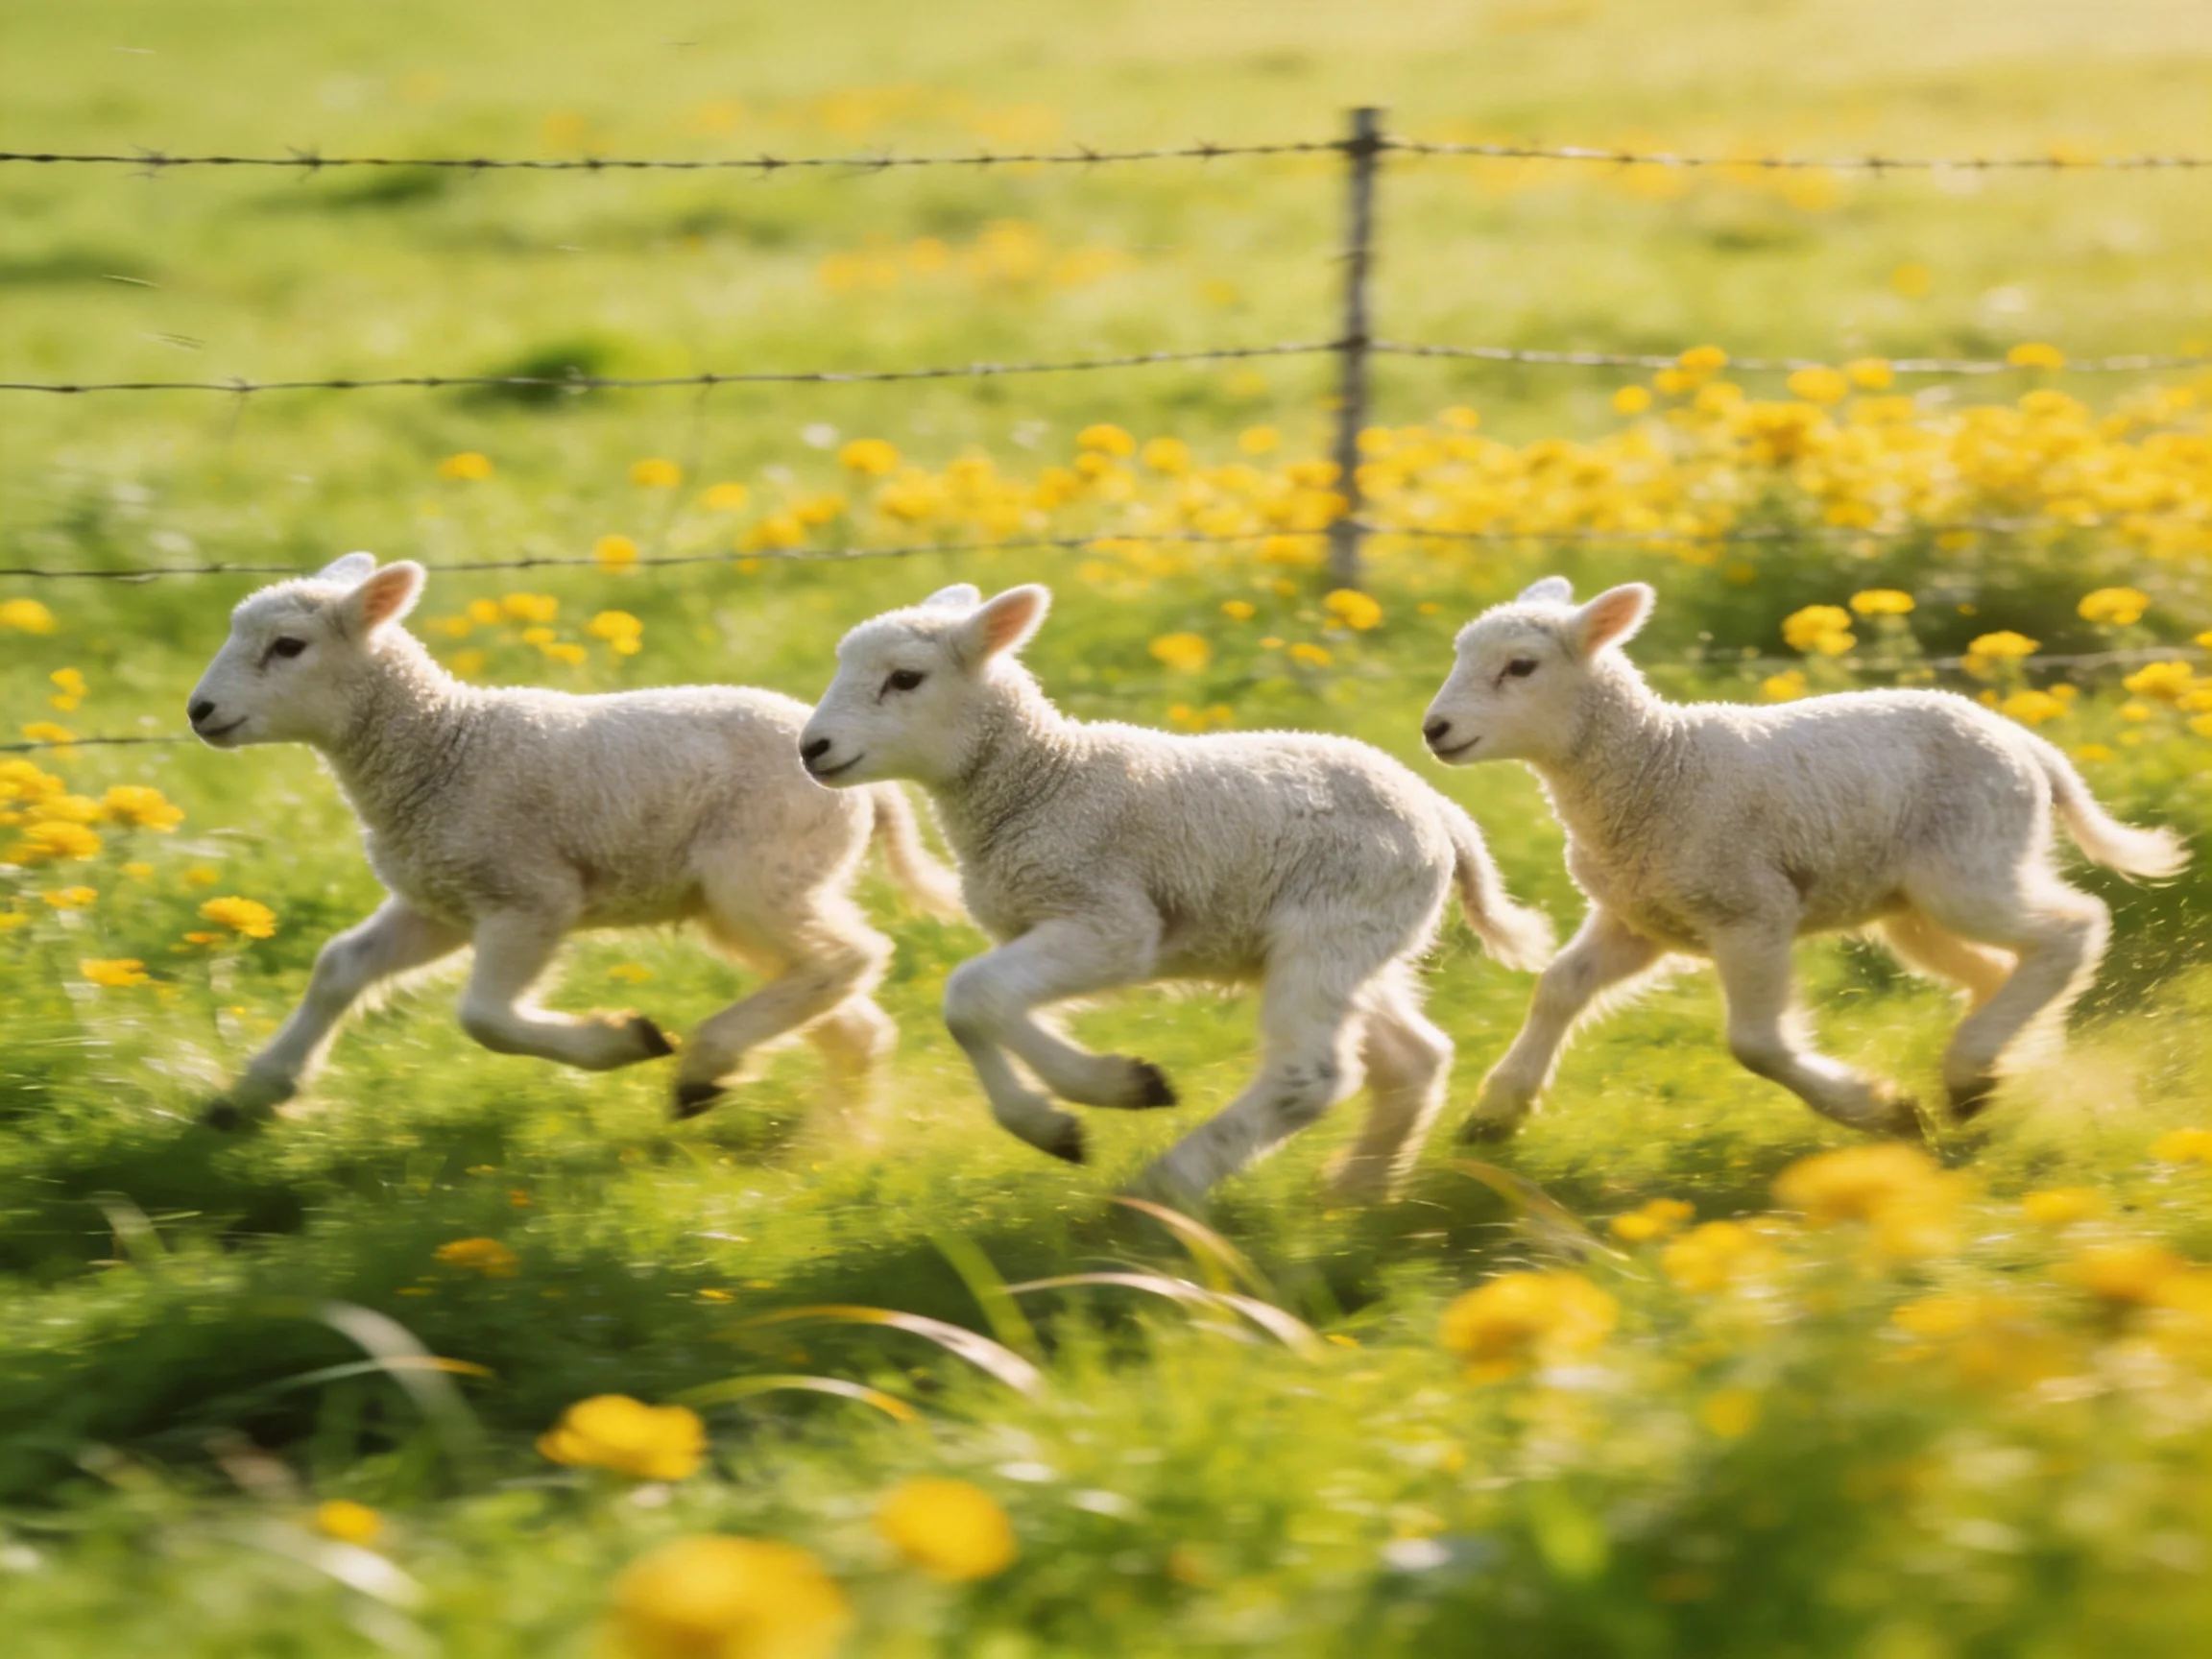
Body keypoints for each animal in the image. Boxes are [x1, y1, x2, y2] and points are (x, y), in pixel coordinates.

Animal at [186, 552, 960, 1130]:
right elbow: (339, 966)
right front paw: (261, 1089)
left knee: (851, 956)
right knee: (843, 1006)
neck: (442, 748)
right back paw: (829, 1137)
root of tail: (870, 785)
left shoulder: (530, 893)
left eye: (288, 646)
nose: (199, 711)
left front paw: (619, 1040)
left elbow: (485, 1019)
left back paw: (707, 1066)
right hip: (751, 894)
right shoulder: (442, 899)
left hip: (762, 867)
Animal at [795, 582, 1553, 1202]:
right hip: (1364, 942)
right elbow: (988, 1009)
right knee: (1413, 1058)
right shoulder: (1037, 924)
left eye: (905, 678)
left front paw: (1087, 1100)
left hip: (1334, 922)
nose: (811, 749)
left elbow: (971, 997)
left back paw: (1168, 1186)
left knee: (1310, 1075)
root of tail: (1442, 814)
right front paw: (1085, 1104)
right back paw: (1358, 1191)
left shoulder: (1110, 920)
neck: (1042, 781)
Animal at [1421, 575, 2188, 1140]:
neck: (1656, 769)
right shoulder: (1639, 916)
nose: (1434, 730)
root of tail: (2029, 745)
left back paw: (1971, 1072)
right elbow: (1558, 987)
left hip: (1971, 862)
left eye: (1521, 666)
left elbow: (1756, 1044)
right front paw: (1497, 1111)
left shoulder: (1748, 908)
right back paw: (2000, 1069)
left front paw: (1879, 1110)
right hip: (1915, 902)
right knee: (2001, 966)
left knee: (2072, 928)